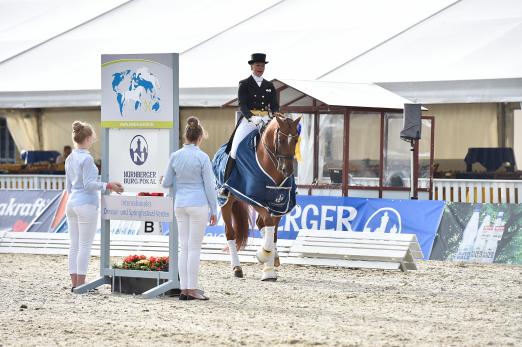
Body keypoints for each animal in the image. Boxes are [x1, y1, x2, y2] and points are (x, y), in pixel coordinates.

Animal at [219, 115, 300, 282]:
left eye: (296, 139)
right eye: (280, 140)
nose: (287, 170)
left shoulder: (279, 205)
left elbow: (272, 233)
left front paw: (270, 267)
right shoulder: (255, 199)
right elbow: (268, 224)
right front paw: (263, 256)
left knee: (260, 224)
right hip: (226, 202)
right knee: (230, 233)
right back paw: (237, 268)